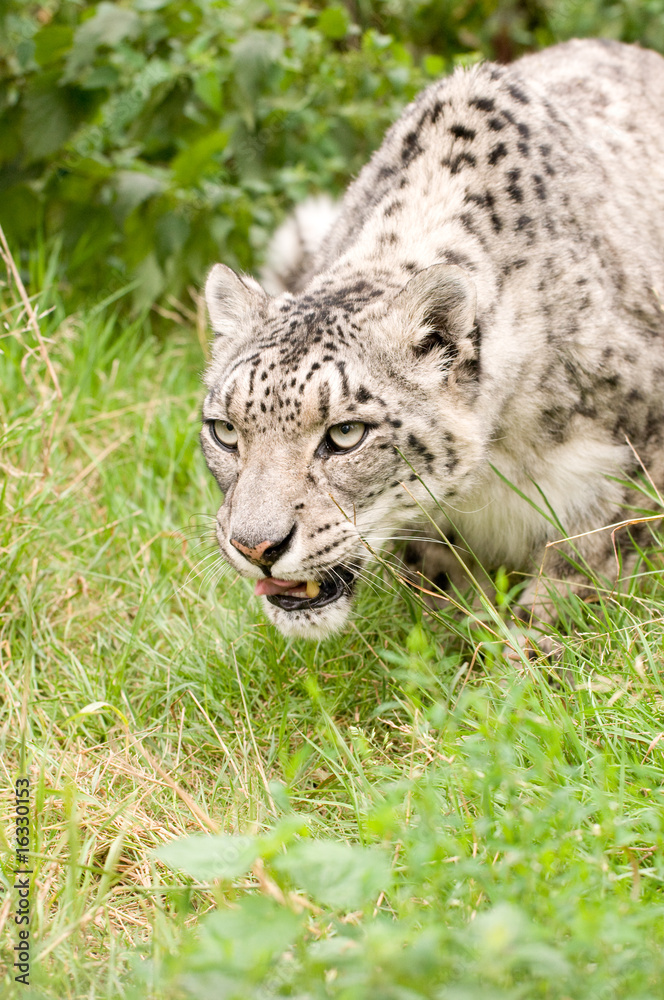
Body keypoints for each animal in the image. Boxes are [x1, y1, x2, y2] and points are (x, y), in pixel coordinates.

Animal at [200, 38, 664, 642]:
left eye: (346, 434)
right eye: (225, 431)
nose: (256, 547)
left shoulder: (627, 460)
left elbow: (587, 562)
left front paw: (533, 641)